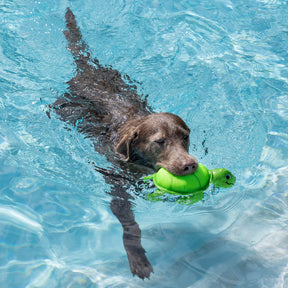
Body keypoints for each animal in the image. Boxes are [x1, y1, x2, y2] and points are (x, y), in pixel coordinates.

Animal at [51, 7, 198, 280]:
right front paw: (138, 259)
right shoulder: (117, 186)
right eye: (160, 141)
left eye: (186, 136)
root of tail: (89, 70)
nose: (190, 165)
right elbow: (131, 225)